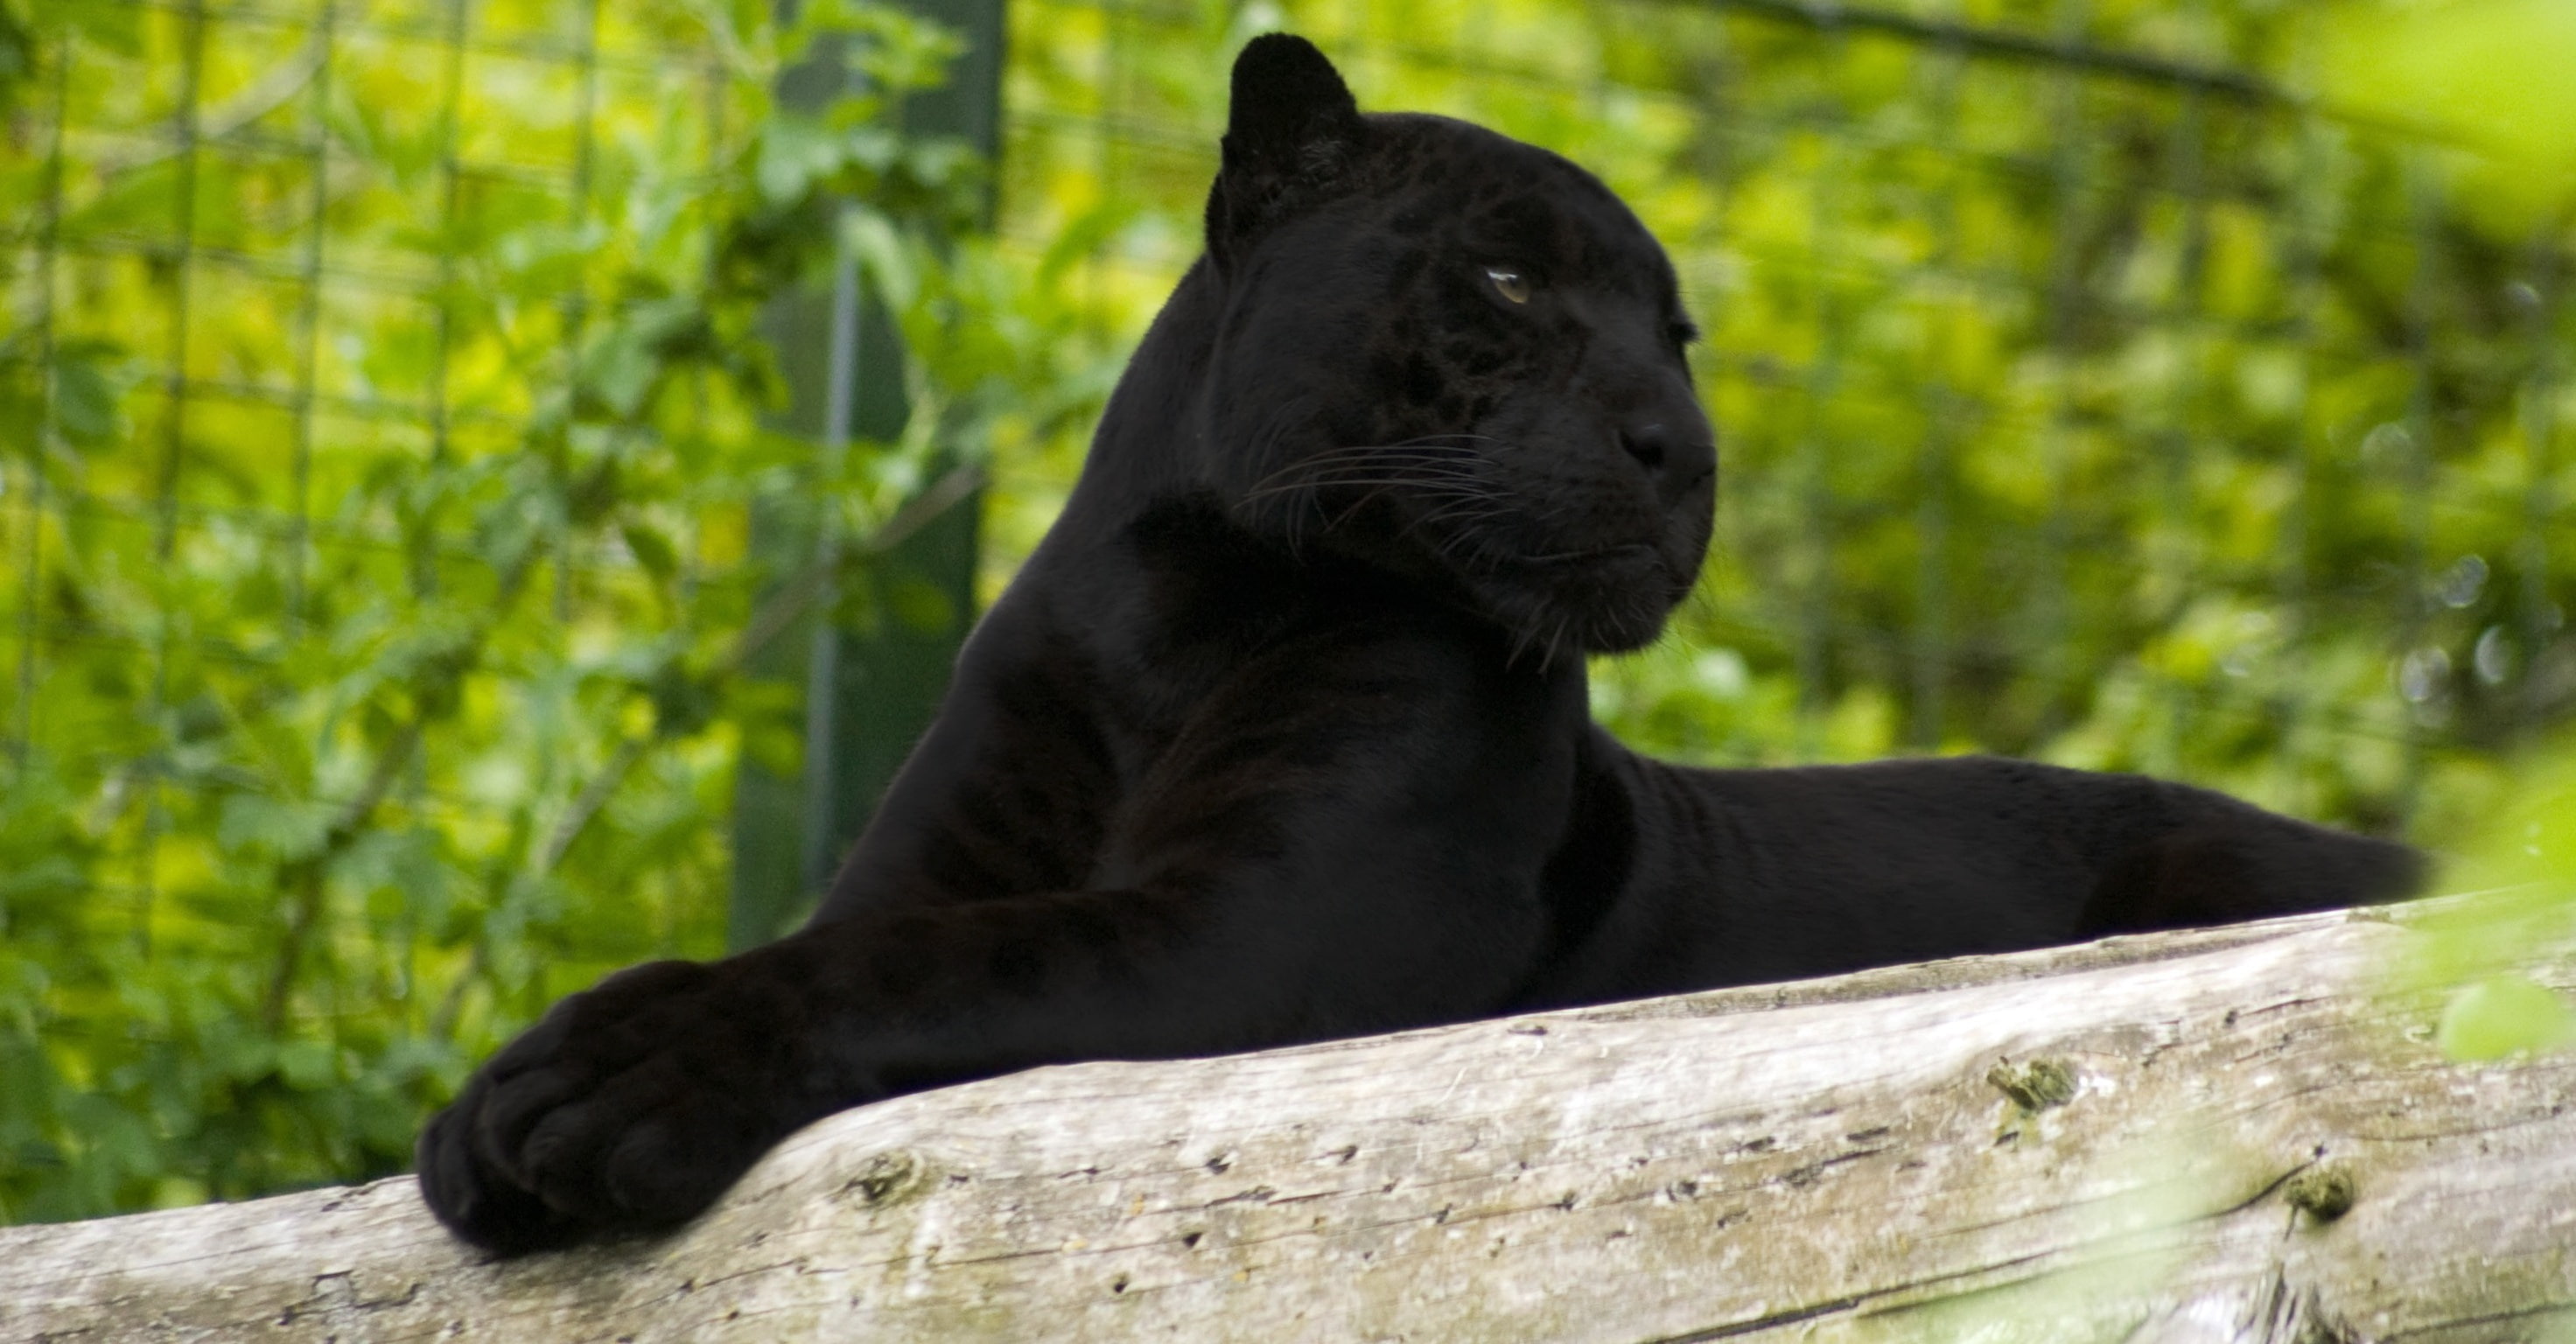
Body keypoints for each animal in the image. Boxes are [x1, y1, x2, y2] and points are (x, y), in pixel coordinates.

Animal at [416, 33, 2421, 1253]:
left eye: (1674, 338)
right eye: (1510, 278)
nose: (1686, 452)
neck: (1176, 610)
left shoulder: (1255, 921)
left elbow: (931, 966)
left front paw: (596, 1081)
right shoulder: (932, 860)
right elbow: (883, 936)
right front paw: (474, 1124)